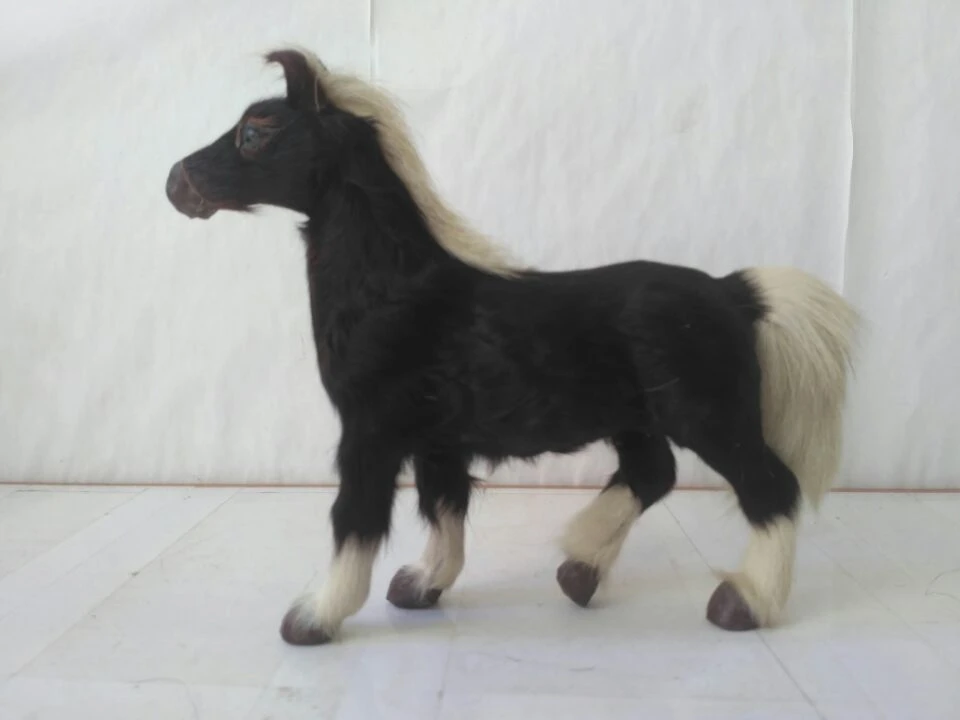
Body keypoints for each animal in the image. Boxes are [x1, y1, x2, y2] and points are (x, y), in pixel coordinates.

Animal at [166, 48, 859, 646]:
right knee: (650, 473)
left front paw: (314, 616)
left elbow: (355, 517)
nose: (177, 183)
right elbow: (444, 508)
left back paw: (743, 602)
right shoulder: (436, 439)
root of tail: (733, 292)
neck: (397, 293)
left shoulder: (370, 432)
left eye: (255, 132)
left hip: (711, 418)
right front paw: (421, 586)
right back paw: (578, 570)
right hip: (637, 421)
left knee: (771, 488)